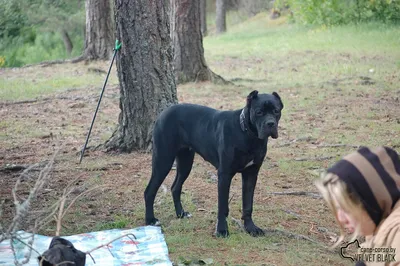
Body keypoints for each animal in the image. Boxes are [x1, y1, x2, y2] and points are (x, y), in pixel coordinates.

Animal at [143, 91, 282, 237]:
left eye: (276, 111)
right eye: (259, 112)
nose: (271, 123)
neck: (248, 135)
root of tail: (163, 113)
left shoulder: (251, 174)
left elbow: (248, 204)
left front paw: (251, 228)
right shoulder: (224, 175)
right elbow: (222, 206)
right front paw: (221, 230)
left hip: (185, 162)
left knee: (175, 187)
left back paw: (181, 213)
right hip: (163, 161)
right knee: (149, 191)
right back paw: (150, 220)